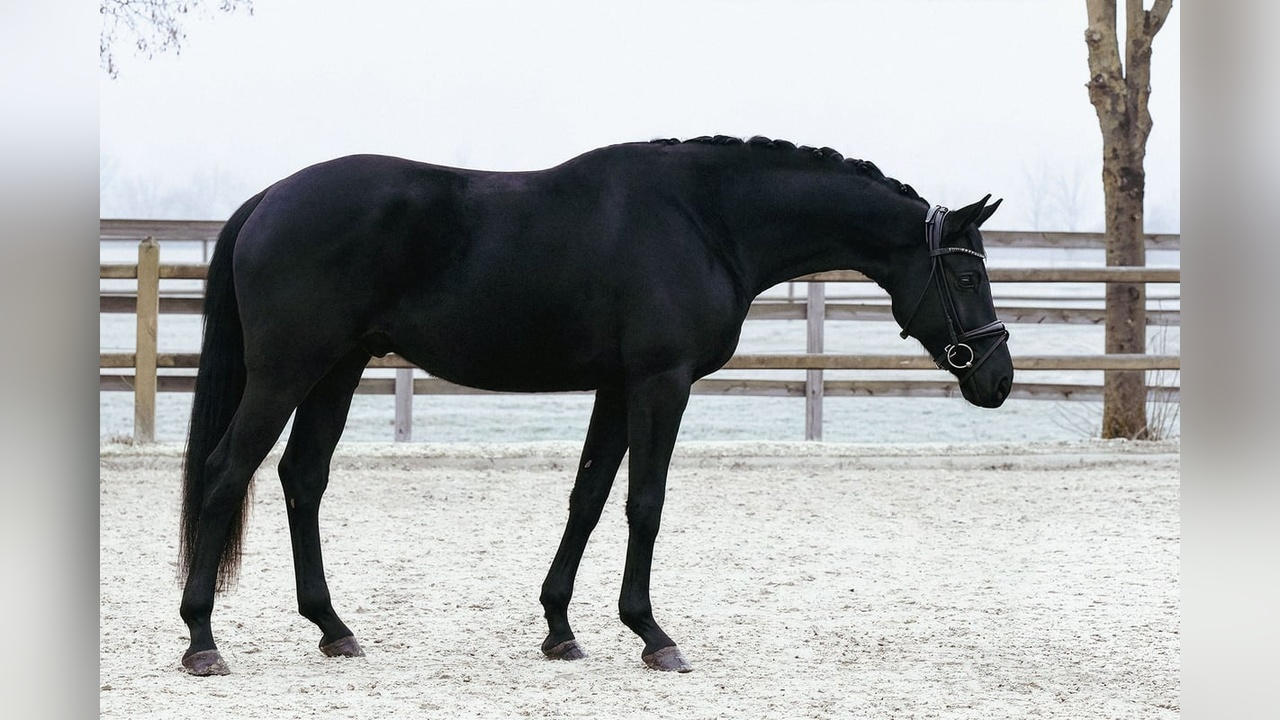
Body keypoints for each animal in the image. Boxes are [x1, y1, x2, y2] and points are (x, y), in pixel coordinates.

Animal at [177, 135, 1013, 676]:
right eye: (968, 276)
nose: (997, 378)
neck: (705, 220)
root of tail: (269, 199)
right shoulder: (661, 382)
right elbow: (645, 501)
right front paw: (652, 634)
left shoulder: (618, 386)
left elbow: (588, 496)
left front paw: (559, 627)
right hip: (289, 371)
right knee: (225, 473)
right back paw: (202, 640)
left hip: (337, 370)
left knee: (302, 478)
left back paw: (333, 628)